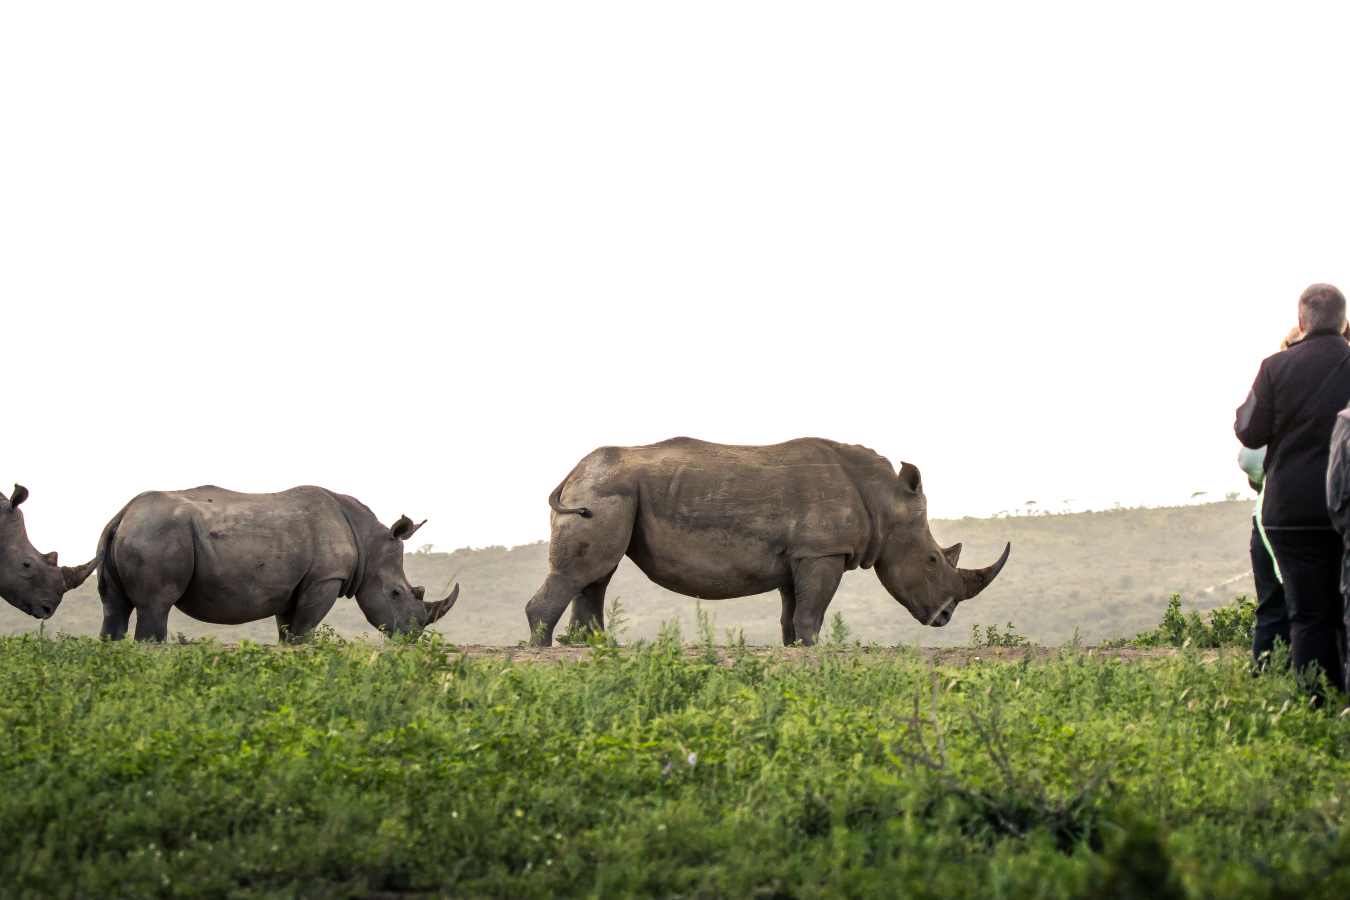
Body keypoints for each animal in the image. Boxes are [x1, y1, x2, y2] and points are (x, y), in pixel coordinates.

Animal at [94, 485, 459, 642]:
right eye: (396, 593)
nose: (411, 637)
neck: (367, 542)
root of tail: (122, 515)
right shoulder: (326, 579)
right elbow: (304, 631)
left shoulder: (294, 586)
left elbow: (288, 631)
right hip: (156, 534)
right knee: (156, 605)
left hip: (131, 533)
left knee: (114, 607)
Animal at [526, 438, 1010, 646]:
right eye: (933, 559)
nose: (945, 616)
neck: (884, 499)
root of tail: (572, 472)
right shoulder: (823, 550)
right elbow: (813, 611)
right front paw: (818, 651)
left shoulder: (801, 554)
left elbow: (793, 612)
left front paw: (795, 649)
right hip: (605, 491)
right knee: (586, 571)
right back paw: (545, 649)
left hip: (610, 491)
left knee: (597, 575)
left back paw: (592, 648)